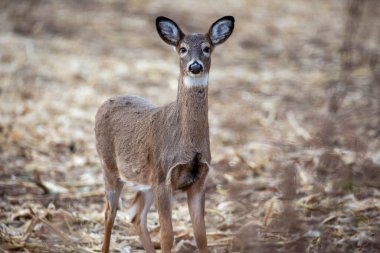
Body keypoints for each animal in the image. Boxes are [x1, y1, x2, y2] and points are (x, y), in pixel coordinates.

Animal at [95, 15, 235, 253]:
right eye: (183, 49)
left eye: (207, 48)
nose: (195, 66)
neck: (189, 144)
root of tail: (105, 102)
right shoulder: (164, 176)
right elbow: (167, 236)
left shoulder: (199, 180)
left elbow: (202, 236)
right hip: (110, 166)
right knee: (109, 212)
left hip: (146, 179)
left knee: (135, 213)